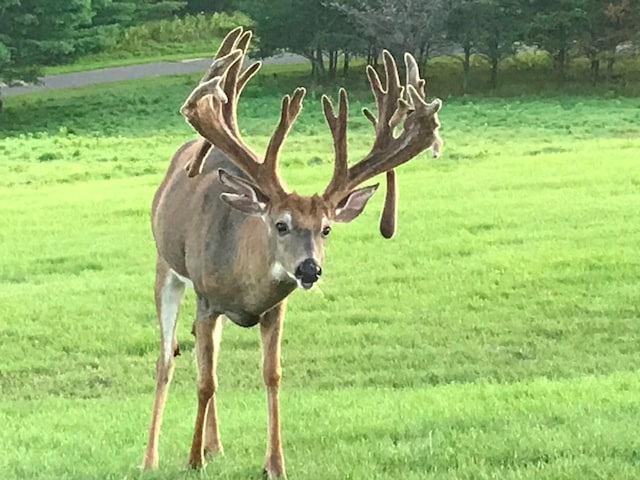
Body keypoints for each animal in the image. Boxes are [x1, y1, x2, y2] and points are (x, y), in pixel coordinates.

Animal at [142, 28, 442, 478]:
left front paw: (275, 463)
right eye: (281, 224)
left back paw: (215, 445)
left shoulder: (274, 309)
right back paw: (152, 457)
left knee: (200, 349)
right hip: (167, 267)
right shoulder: (208, 299)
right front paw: (192, 460)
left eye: (326, 228)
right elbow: (205, 380)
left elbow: (272, 375)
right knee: (167, 359)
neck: (244, 284)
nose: (309, 269)